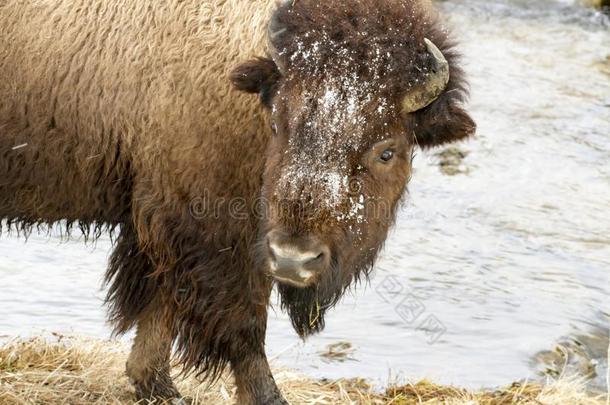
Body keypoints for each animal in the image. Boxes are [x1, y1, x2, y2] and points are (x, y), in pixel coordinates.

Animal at [0, 0, 472, 402]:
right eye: (278, 125)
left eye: (387, 151)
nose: (295, 260)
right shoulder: (214, 236)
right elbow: (243, 326)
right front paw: (267, 397)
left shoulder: (167, 229)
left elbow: (161, 307)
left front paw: (155, 385)